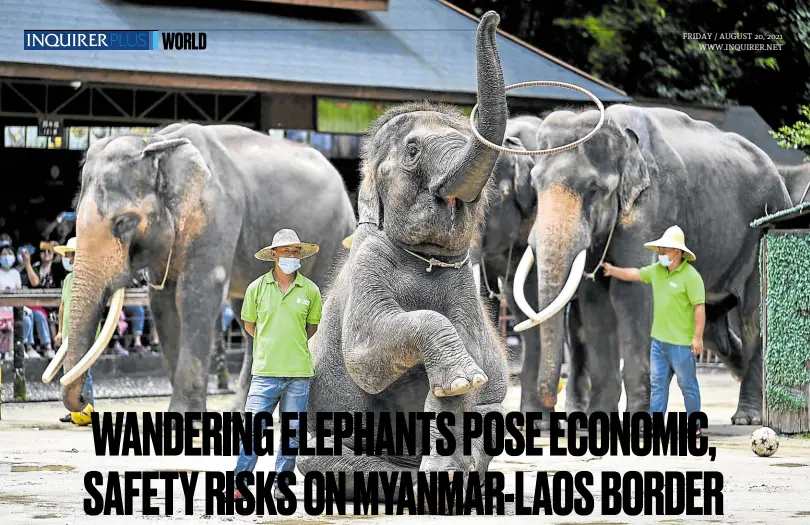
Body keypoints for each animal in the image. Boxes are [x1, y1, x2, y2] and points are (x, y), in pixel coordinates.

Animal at [50, 122, 354, 414]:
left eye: (123, 222)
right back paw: (241, 410)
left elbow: (196, 295)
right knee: (246, 315)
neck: (157, 141)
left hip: (334, 236)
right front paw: (178, 420)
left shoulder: (216, 214)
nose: (85, 398)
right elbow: (162, 302)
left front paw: (190, 419)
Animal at [296, 9, 508, 500]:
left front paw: (449, 466)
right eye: (413, 150)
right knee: (313, 458)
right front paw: (462, 379)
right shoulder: (368, 262)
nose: (492, 18)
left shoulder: (463, 277)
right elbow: (365, 355)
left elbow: (470, 361)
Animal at [512, 103, 788, 426]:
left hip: (764, 227)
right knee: (713, 326)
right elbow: (596, 303)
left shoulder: (654, 206)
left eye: (593, 189)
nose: (550, 399)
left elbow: (632, 296)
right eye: (535, 184)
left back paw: (747, 418)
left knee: (752, 316)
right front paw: (599, 420)